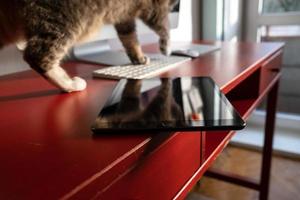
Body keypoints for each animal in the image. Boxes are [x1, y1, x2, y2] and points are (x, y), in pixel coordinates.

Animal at [0, 0, 179, 92]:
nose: (174, 6)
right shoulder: (155, 7)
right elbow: (164, 26)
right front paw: (167, 47)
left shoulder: (125, 16)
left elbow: (130, 38)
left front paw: (138, 58)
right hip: (63, 21)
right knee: (37, 56)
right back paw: (70, 85)